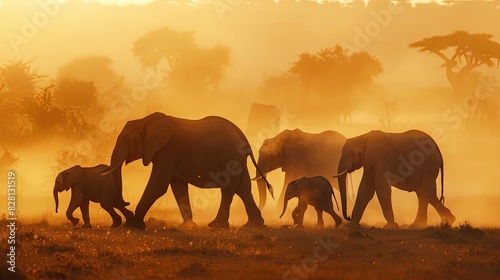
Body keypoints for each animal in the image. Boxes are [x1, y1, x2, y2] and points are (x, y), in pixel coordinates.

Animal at [100, 112, 274, 230]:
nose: (126, 202)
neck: (145, 120)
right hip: (237, 160)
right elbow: (178, 187)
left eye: (127, 140)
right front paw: (187, 227)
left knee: (229, 189)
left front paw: (134, 225)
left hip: (229, 156)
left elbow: (158, 185)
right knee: (243, 189)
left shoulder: (166, 150)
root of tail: (244, 139)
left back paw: (217, 225)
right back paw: (254, 225)